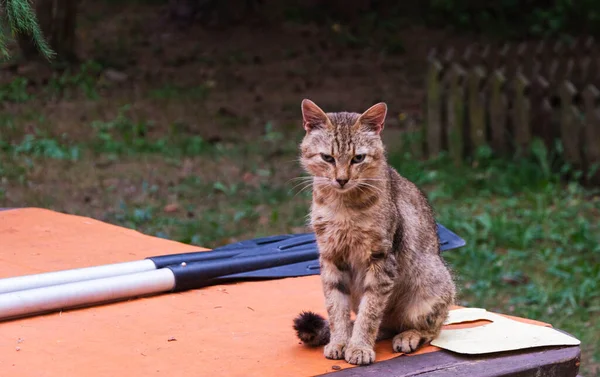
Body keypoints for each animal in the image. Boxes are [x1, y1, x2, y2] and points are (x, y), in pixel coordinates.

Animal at [290, 99, 454, 364]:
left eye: (358, 158)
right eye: (327, 157)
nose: (342, 179)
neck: (342, 206)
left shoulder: (380, 258)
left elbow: (370, 311)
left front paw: (359, 347)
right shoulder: (331, 256)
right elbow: (336, 308)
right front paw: (341, 342)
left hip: (430, 283)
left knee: (432, 328)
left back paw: (408, 335)